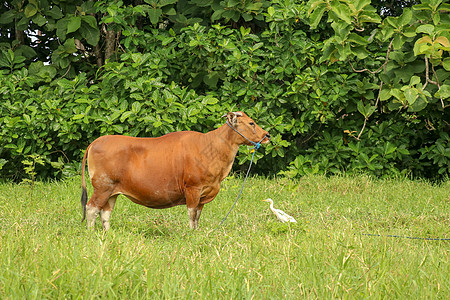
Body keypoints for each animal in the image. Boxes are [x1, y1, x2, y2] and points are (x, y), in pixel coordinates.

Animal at [81, 111, 270, 231]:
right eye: (252, 123)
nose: (267, 135)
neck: (210, 147)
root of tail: (96, 142)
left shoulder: (203, 194)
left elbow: (197, 216)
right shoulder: (193, 189)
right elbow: (192, 214)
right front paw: (191, 233)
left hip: (112, 191)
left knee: (105, 212)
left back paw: (107, 233)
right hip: (102, 187)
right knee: (91, 208)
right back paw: (91, 232)